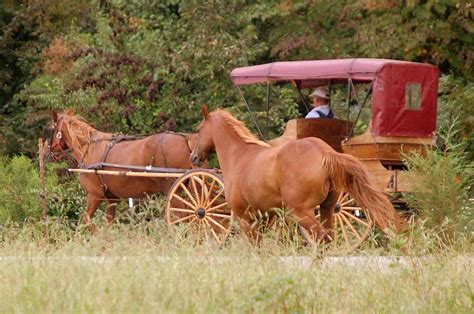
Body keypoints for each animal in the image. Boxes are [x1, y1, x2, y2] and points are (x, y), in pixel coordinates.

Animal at [45, 110, 197, 231]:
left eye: (51, 129)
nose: (47, 152)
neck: (89, 150)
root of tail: (186, 139)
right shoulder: (111, 198)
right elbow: (108, 222)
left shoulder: (95, 195)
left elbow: (86, 219)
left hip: (171, 189)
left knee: (187, 215)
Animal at [191, 107, 406, 243]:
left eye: (199, 130)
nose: (193, 157)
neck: (239, 154)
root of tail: (325, 152)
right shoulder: (267, 217)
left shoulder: (246, 218)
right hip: (327, 209)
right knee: (329, 237)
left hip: (301, 212)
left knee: (321, 237)